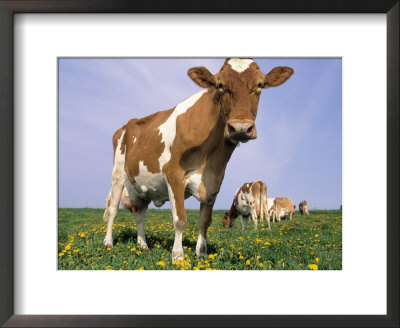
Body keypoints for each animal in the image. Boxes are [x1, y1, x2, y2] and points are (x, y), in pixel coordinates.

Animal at [101, 57, 292, 260]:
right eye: (220, 85)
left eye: (260, 85)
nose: (240, 127)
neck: (211, 157)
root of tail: (126, 125)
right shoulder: (174, 175)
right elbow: (180, 219)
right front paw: (178, 255)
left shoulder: (214, 181)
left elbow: (205, 221)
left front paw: (201, 253)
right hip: (118, 173)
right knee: (112, 209)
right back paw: (108, 242)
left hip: (142, 185)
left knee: (140, 215)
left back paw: (143, 245)